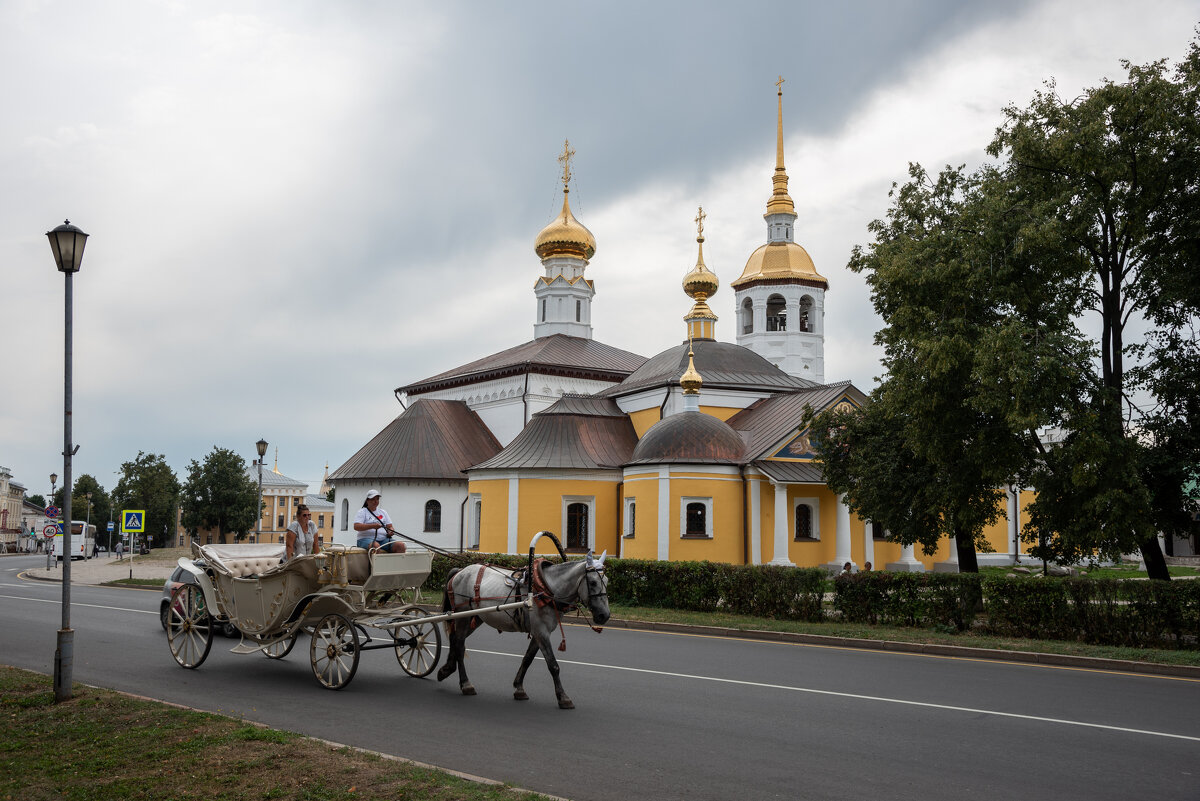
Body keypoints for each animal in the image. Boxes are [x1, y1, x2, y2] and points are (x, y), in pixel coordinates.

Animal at [436, 551, 609, 705]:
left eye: (607, 581)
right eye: (593, 582)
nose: (604, 615)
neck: (545, 589)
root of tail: (460, 571)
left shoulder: (539, 633)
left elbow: (527, 659)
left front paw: (519, 688)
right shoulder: (541, 632)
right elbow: (553, 665)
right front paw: (563, 697)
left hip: (476, 617)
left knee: (456, 639)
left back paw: (447, 669)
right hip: (463, 615)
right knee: (459, 644)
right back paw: (466, 684)